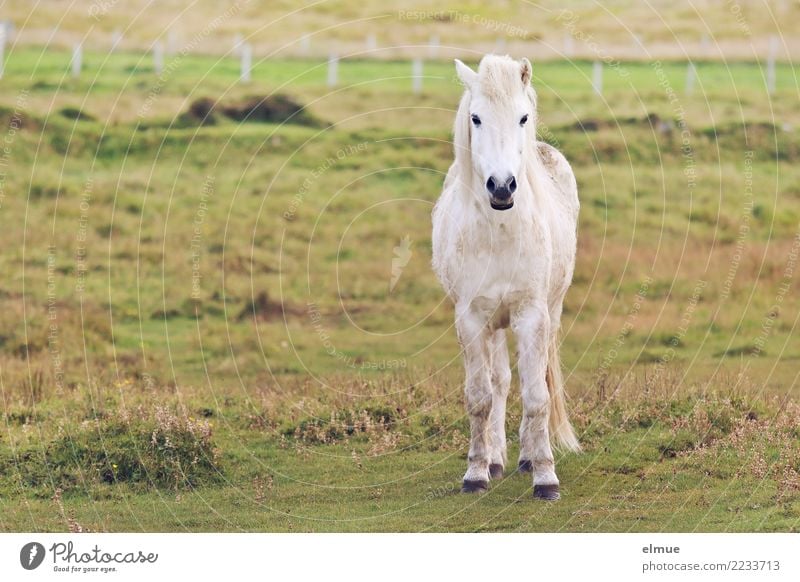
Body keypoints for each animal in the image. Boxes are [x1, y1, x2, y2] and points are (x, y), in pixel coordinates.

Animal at [432, 56, 580, 502]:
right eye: (476, 118)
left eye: (523, 117)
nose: (501, 187)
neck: (499, 231)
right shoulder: (470, 319)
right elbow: (480, 397)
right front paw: (476, 472)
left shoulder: (531, 314)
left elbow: (536, 396)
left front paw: (545, 476)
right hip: (493, 324)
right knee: (499, 381)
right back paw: (496, 458)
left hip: (549, 309)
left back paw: (528, 457)